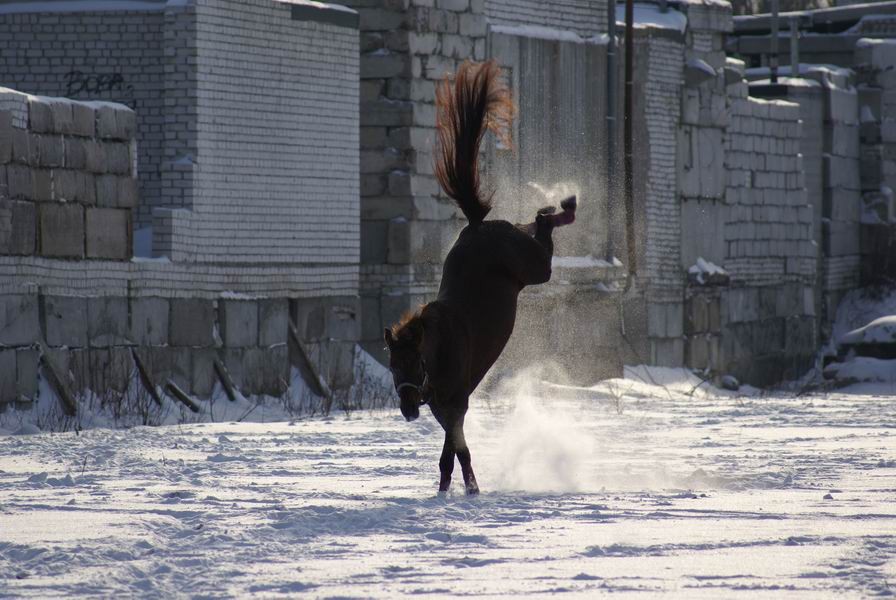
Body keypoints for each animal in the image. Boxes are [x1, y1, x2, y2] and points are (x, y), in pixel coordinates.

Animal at [384, 58, 576, 494]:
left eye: (415, 361)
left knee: (543, 227)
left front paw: (470, 492)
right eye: (392, 365)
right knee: (533, 222)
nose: (408, 410)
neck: (439, 345)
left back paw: (566, 205)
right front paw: (447, 491)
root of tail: (476, 226)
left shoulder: (457, 403)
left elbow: (457, 450)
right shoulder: (444, 407)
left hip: (535, 268)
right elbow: (452, 453)